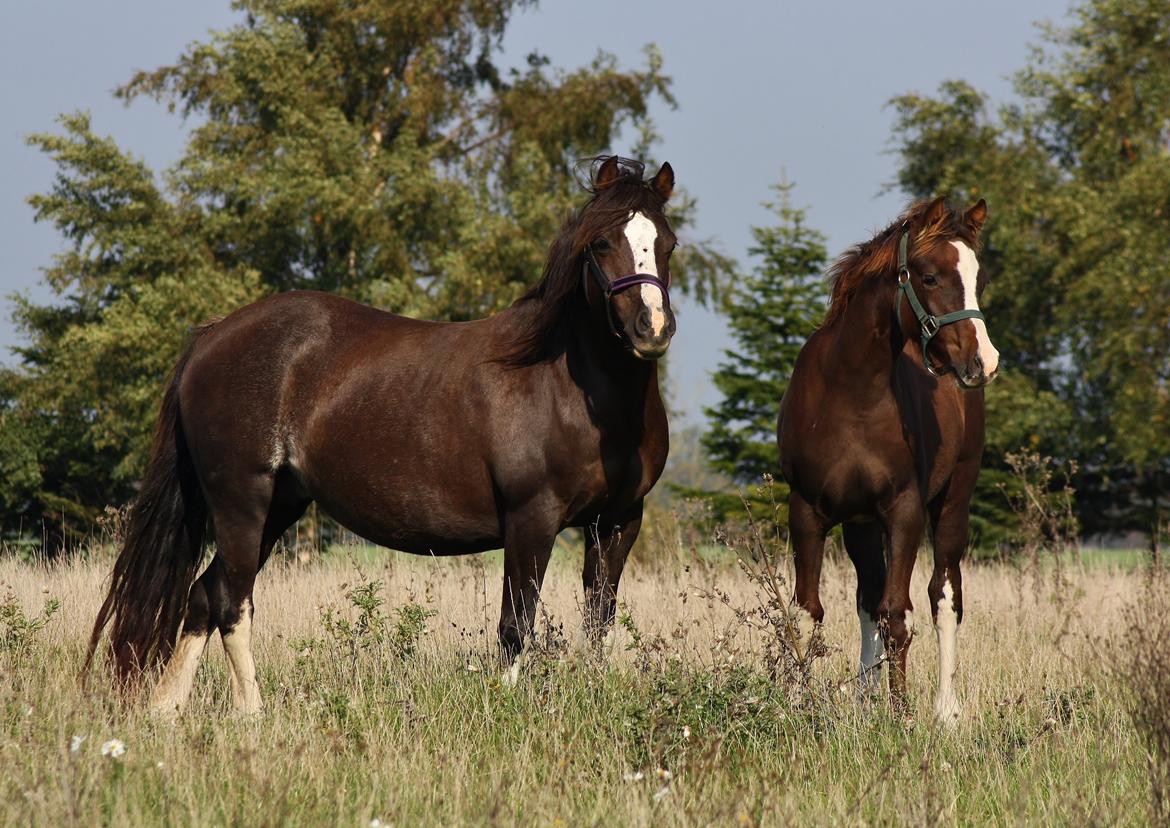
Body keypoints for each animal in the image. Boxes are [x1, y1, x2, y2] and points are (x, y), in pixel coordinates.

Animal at [86, 155, 683, 711]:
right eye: (601, 243)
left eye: (668, 243)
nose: (651, 329)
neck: (565, 386)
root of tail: (210, 337)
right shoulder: (531, 520)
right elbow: (516, 627)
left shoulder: (617, 523)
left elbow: (599, 625)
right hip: (241, 499)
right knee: (233, 600)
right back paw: (251, 716)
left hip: (280, 503)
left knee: (204, 595)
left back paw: (167, 710)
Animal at [781, 197, 1001, 720]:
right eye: (930, 276)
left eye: (978, 278)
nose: (984, 362)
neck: (849, 391)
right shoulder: (808, 511)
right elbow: (808, 611)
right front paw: (795, 708)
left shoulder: (904, 512)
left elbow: (898, 615)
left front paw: (901, 716)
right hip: (860, 524)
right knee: (866, 600)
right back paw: (865, 700)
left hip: (951, 506)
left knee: (945, 596)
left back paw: (945, 711)